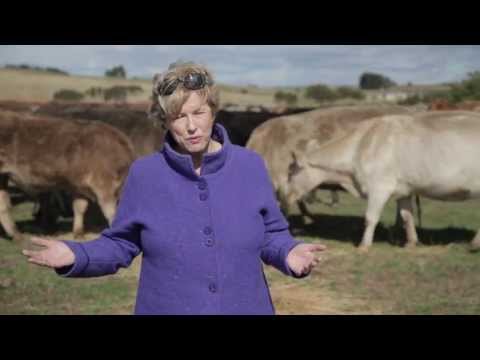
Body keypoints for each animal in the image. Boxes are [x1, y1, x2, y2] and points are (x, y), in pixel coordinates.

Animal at [0, 109, 135, 242]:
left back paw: (17, 235)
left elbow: (80, 208)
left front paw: (78, 233)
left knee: (3, 205)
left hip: (3, 178)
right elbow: (111, 213)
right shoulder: (104, 186)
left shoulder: (80, 186)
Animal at [286, 111, 480, 252]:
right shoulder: (404, 189)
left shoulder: (380, 187)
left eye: (290, 172)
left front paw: (363, 246)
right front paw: (410, 243)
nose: (284, 198)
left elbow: (370, 218)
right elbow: (407, 216)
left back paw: (474, 244)